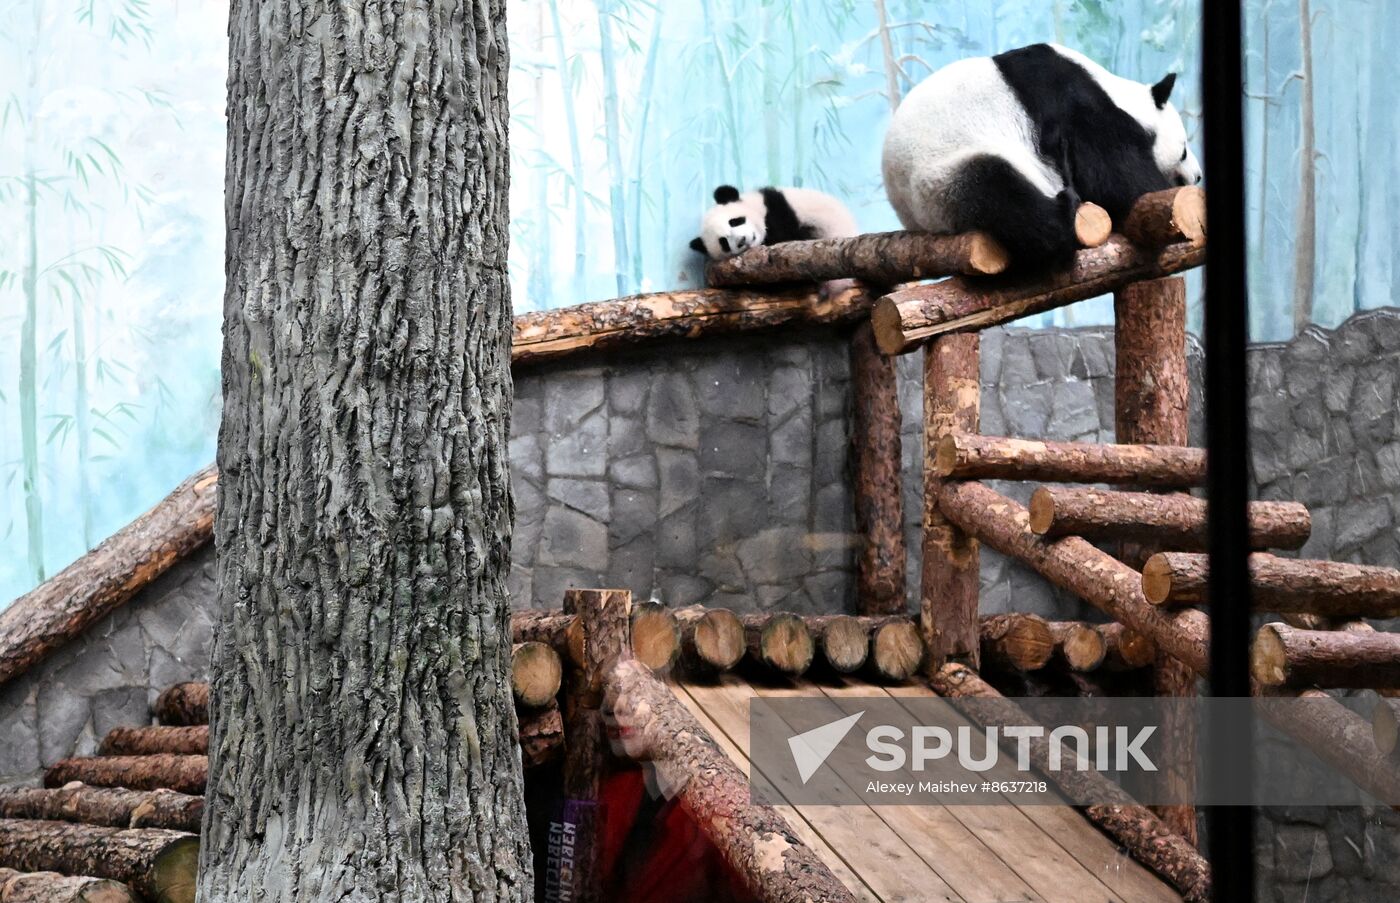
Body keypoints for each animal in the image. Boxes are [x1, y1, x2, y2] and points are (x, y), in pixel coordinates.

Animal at [882, 43, 1202, 267]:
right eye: (1184, 150)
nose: (1198, 176)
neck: (1115, 91)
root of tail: (916, 219)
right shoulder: (1069, 102)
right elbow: (1116, 175)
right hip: (945, 172)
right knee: (1003, 194)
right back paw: (1064, 210)